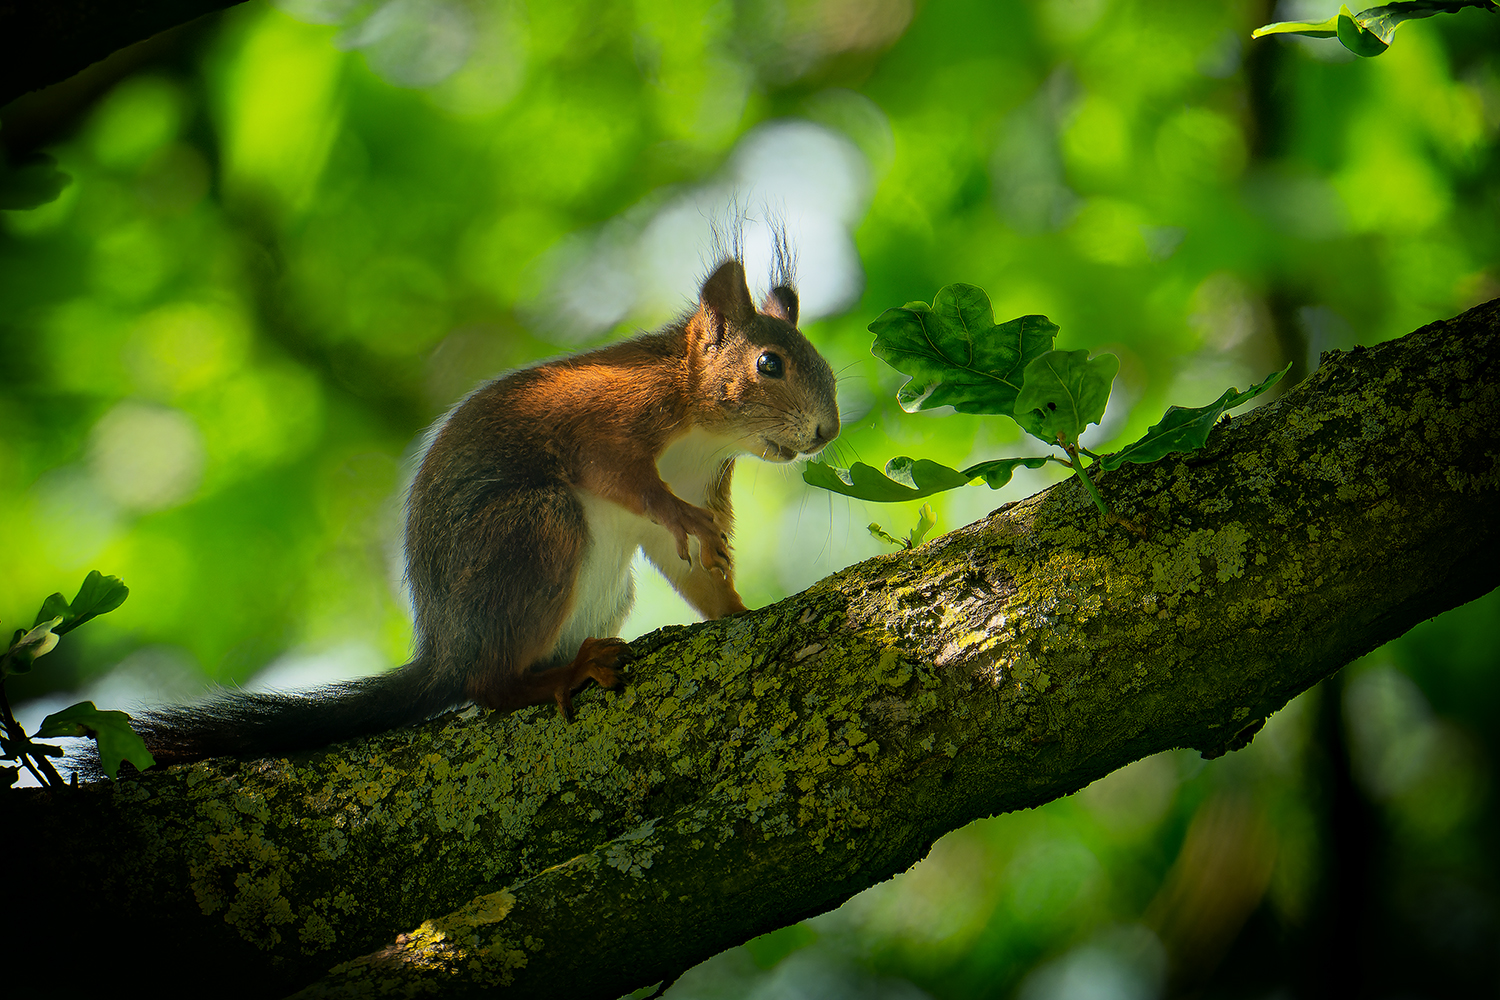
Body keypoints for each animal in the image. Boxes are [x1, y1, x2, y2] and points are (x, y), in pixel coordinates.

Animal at [130, 256, 846, 767]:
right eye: (769, 364)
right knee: (489, 687)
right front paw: (687, 522)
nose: (826, 432)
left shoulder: (699, 481)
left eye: (829, 371)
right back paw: (561, 674)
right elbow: (624, 479)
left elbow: (693, 573)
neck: (702, 429)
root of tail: (447, 649)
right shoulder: (607, 418)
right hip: (534, 532)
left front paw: (738, 606)